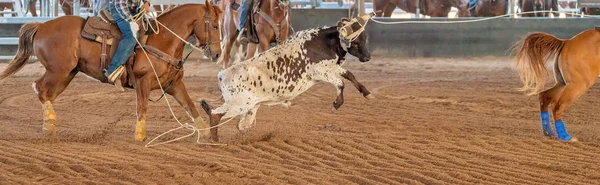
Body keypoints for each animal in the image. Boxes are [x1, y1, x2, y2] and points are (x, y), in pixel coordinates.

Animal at [0, 2, 223, 142]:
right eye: (214, 25)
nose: (217, 53)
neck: (163, 40)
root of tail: (41, 26)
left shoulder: (174, 84)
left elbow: (190, 106)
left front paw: (205, 134)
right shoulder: (143, 81)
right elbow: (142, 108)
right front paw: (140, 135)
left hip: (67, 73)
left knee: (47, 94)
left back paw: (50, 124)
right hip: (58, 71)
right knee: (39, 88)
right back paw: (49, 124)